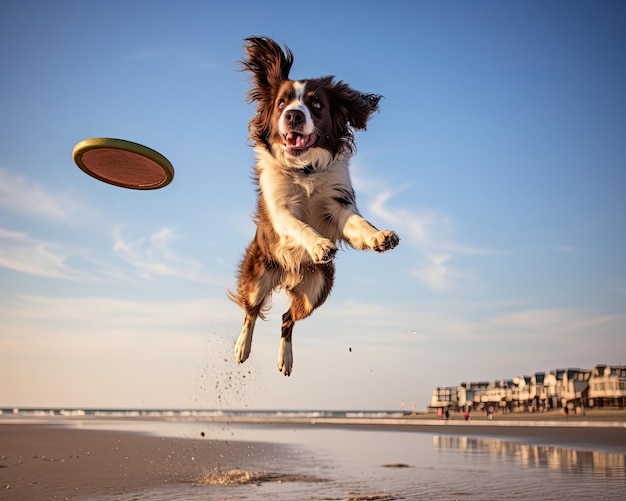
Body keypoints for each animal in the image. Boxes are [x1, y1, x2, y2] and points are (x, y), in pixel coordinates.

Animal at [229, 37, 400, 376]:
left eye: (316, 103)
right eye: (282, 103)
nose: (294, 115)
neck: (304, 168)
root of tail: (289, 276)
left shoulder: (338, 205)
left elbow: (360, 223)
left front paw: (379, 237)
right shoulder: (280, 211)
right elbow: (299, 225)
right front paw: (319, 244)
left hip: (316, 290)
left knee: (286, 319)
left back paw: (285, 359)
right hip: (259, 274)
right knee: (251, 309)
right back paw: (242, 347)